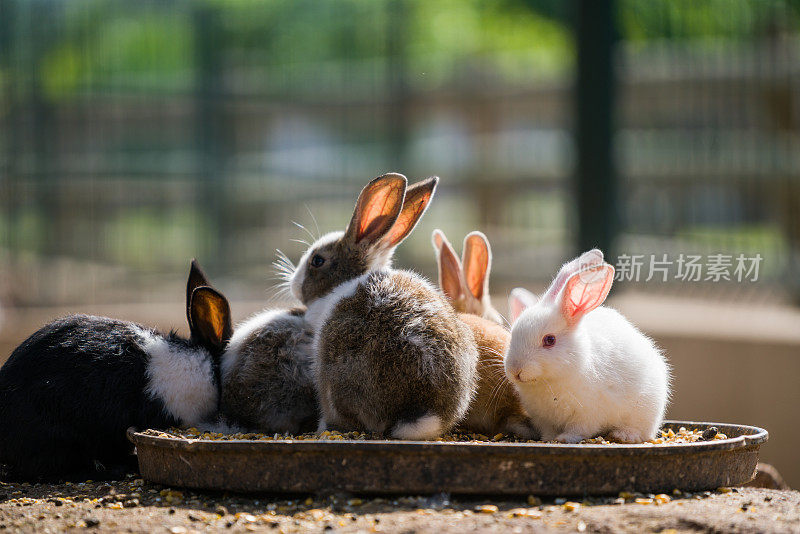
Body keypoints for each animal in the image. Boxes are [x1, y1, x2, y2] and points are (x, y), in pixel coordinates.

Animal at [506, 253, 668, 446]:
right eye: (512, 335)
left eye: (549, 340)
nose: (515, 370)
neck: (548, 382)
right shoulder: (543, 418)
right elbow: (548, 430)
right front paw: (549, 439)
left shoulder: (587, 413)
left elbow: (580, 429)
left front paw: (564, 438)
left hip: (645, 410)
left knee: (641, 431)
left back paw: (623, 435)